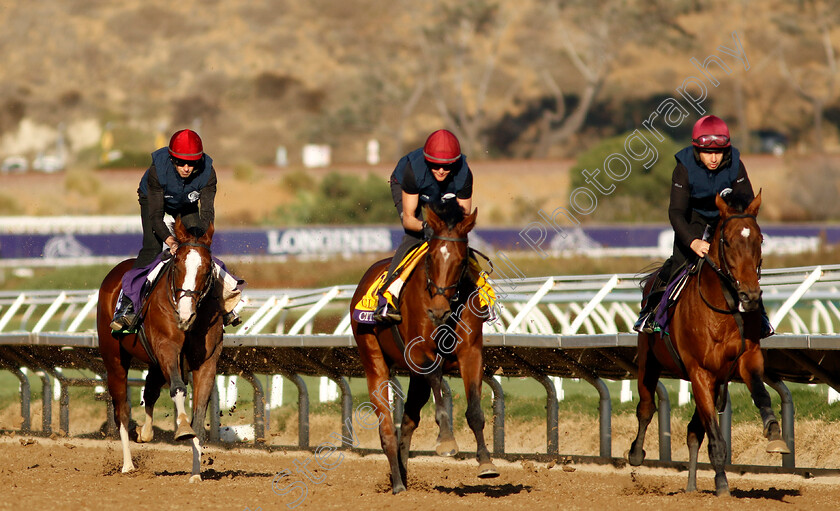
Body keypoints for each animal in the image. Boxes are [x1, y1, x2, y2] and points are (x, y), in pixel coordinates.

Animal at [97, 218, 226, 482]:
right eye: (177, 265)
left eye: (206, 268)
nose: (185, 315)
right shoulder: (167, 347)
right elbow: (177, 388)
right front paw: (183, 428)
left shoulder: (207, 361)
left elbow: (200, 412)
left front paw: (195, 473)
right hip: (114, 359)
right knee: (122, 409)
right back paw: (128, 465)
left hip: (154, 362)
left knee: (150, 392)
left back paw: (144, 432)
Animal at [350, 202, 498, 494]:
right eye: (430, 258)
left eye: (461, 261)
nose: (437, 311)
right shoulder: (418, 354)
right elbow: (438, 383)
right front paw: (446, 439)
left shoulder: (471, 353)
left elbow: (475, 411)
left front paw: (486, 463)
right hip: (373, 359)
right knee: (387, 426)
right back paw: (398, 485)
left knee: (407, 422)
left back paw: (403, 477)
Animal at [628, 192, 792, 496]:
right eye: (727, 241)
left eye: (760, 239)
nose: (750, 295)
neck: (724, 309)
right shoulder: (699, 372)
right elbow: (715, 435)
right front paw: (723, 483)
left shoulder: (746, 359)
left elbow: (761, 394)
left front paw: (775, 432)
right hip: (648, 360)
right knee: (646, 408)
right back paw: (635, 454)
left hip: (716, 381)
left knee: (694, 430)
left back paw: (692, 485)